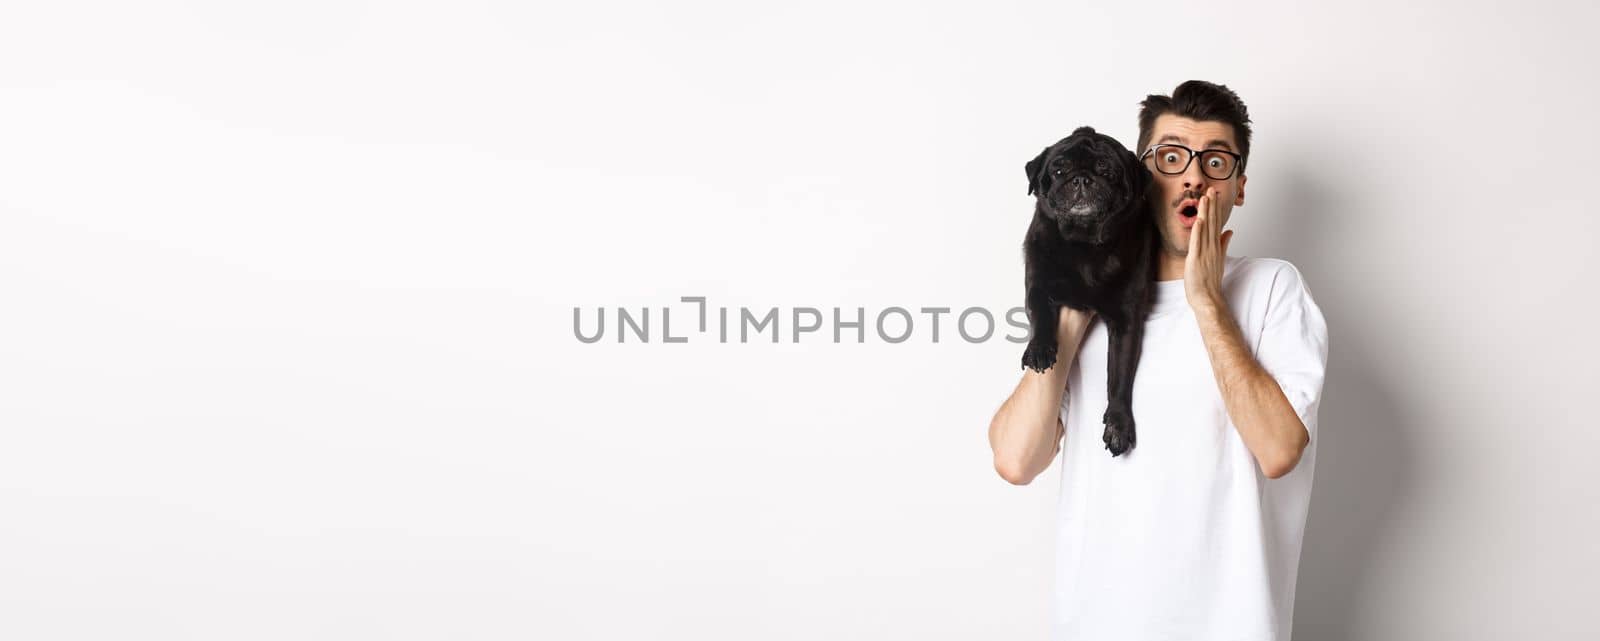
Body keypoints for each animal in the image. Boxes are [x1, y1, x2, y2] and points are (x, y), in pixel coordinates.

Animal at [1017, 124, 1158, 453]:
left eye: (1107, 169)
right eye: (1058, 170)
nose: (1081, 178)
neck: (1083, 246)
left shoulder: (1126, 321)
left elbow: (1118, 376)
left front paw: (1118, 423)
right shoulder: (1037, 285)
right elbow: (1041, 316)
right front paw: (1039, 348)